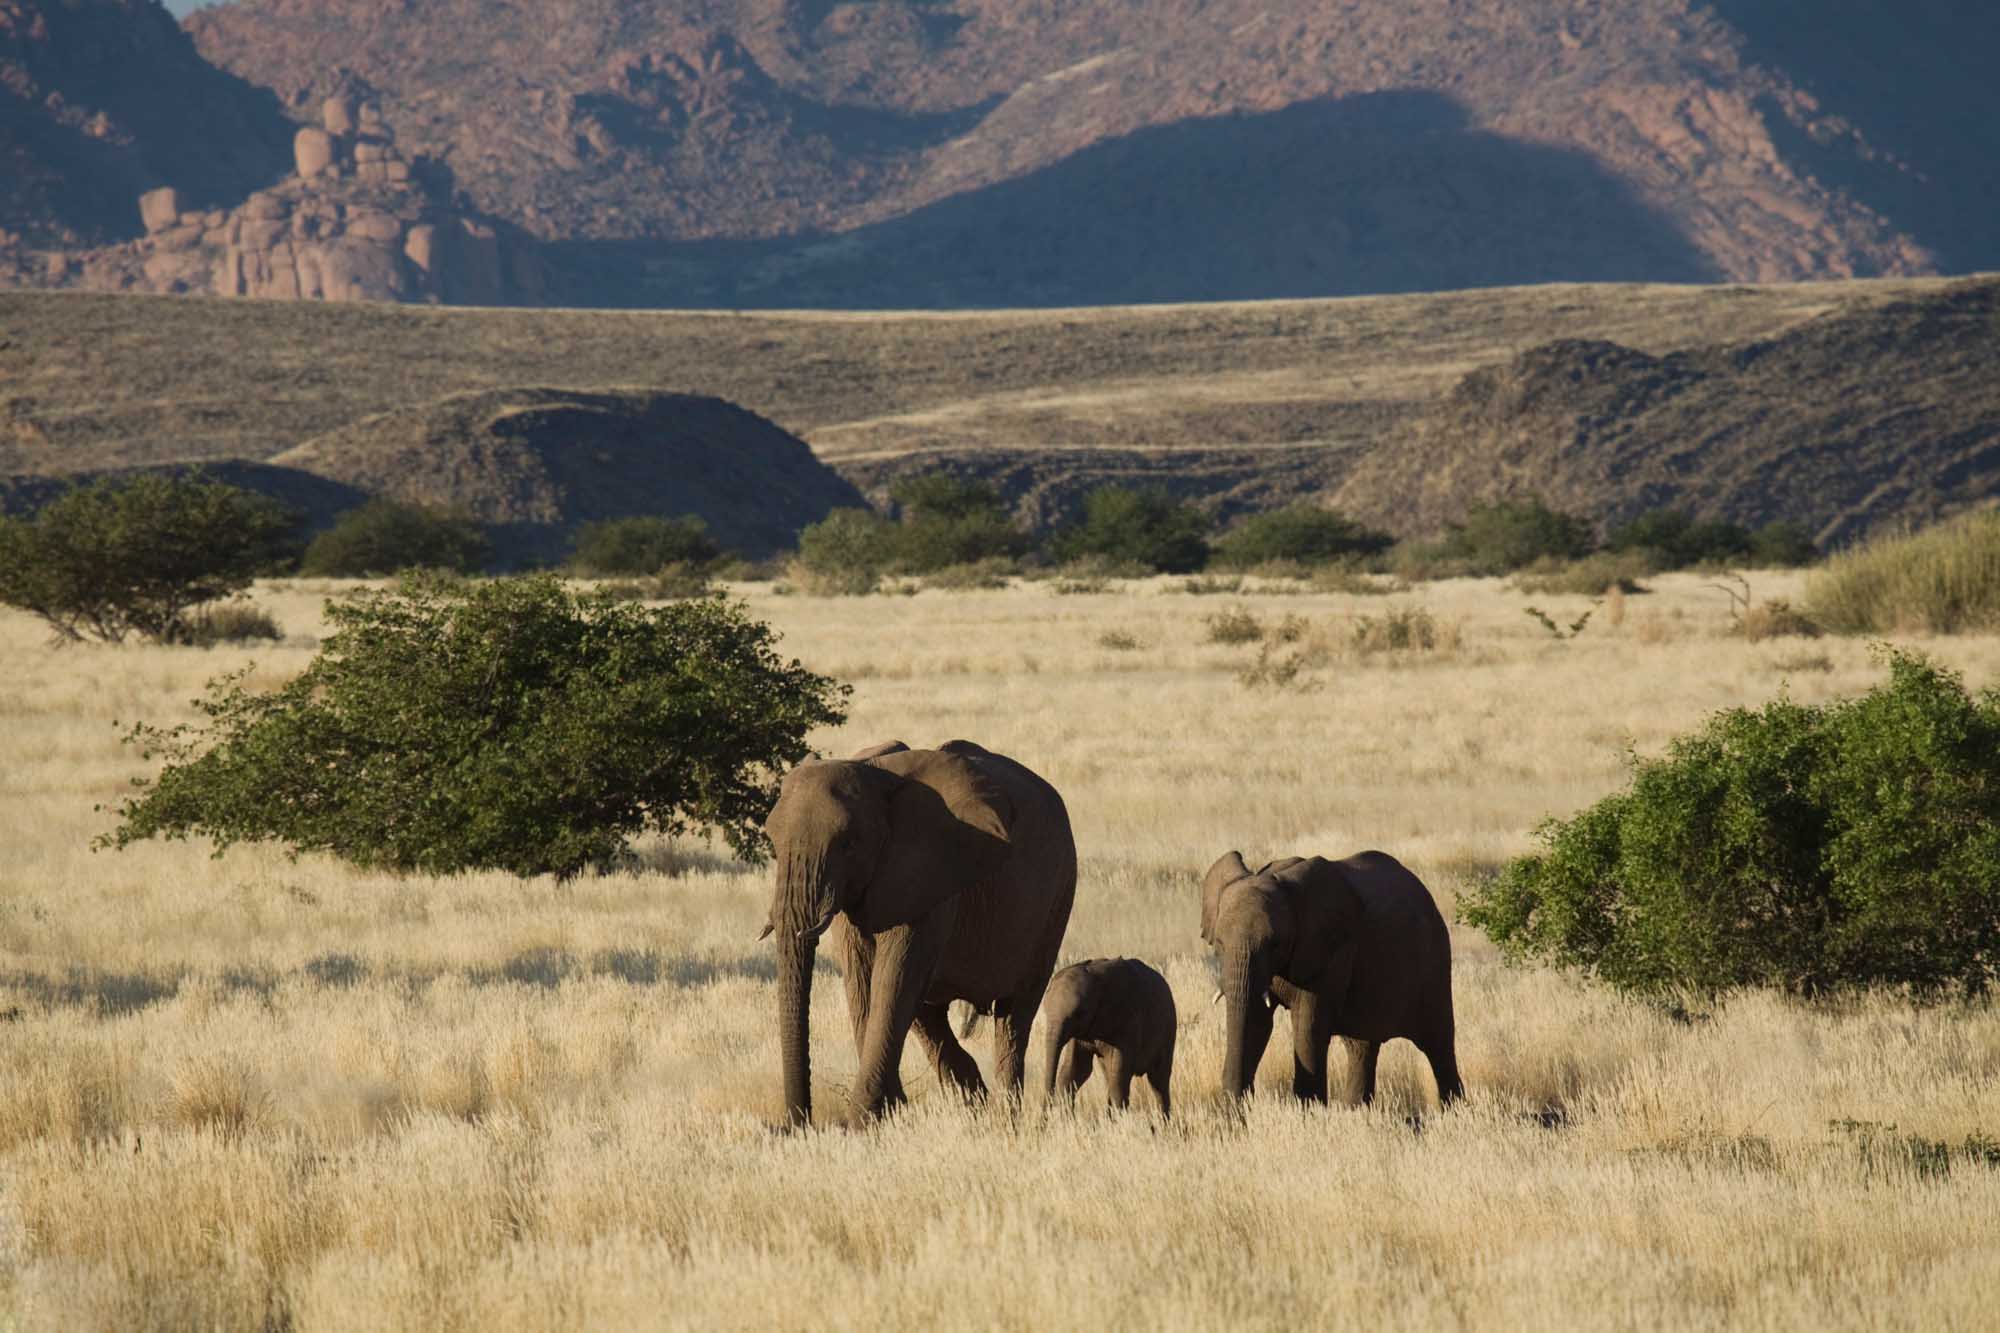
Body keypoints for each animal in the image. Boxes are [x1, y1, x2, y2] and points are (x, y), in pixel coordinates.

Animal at [763, 739, 1077, 1126]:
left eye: (849, 844)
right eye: (772, 841)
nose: (800, 1123)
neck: (875, 775)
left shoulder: (929, 873)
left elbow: (893, 978)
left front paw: (864, 1123)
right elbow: (863, 981)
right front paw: (887, 1116)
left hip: (1057, 897)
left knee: (1014, 1013)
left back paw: (1005, 1116)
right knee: (928, 1014)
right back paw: (974, 1107)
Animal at [1040, 956, 1178, 1118]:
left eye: (1079, 1013)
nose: (1043, 1120)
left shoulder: (1127, 1020)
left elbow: (1118, 1075)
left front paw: (1120, 1121)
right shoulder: (1081, 1033)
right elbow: (1074, 1070)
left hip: (1169, 1029)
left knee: (1158, 1080)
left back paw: (1164, 1121)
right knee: (1110, 1077)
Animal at [1202, 849, 1462, 1108]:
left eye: (1275, 944)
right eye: (1220, 944)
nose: (1236, 1101)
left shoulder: (1331, 951)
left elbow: (1308, 1024)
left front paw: (1308, 1109)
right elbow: (1257, 1020)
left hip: (1434, 961)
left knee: (1439, 1044)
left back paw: (1453, 1109)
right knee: (1362, 1047)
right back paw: (1355, 1110)